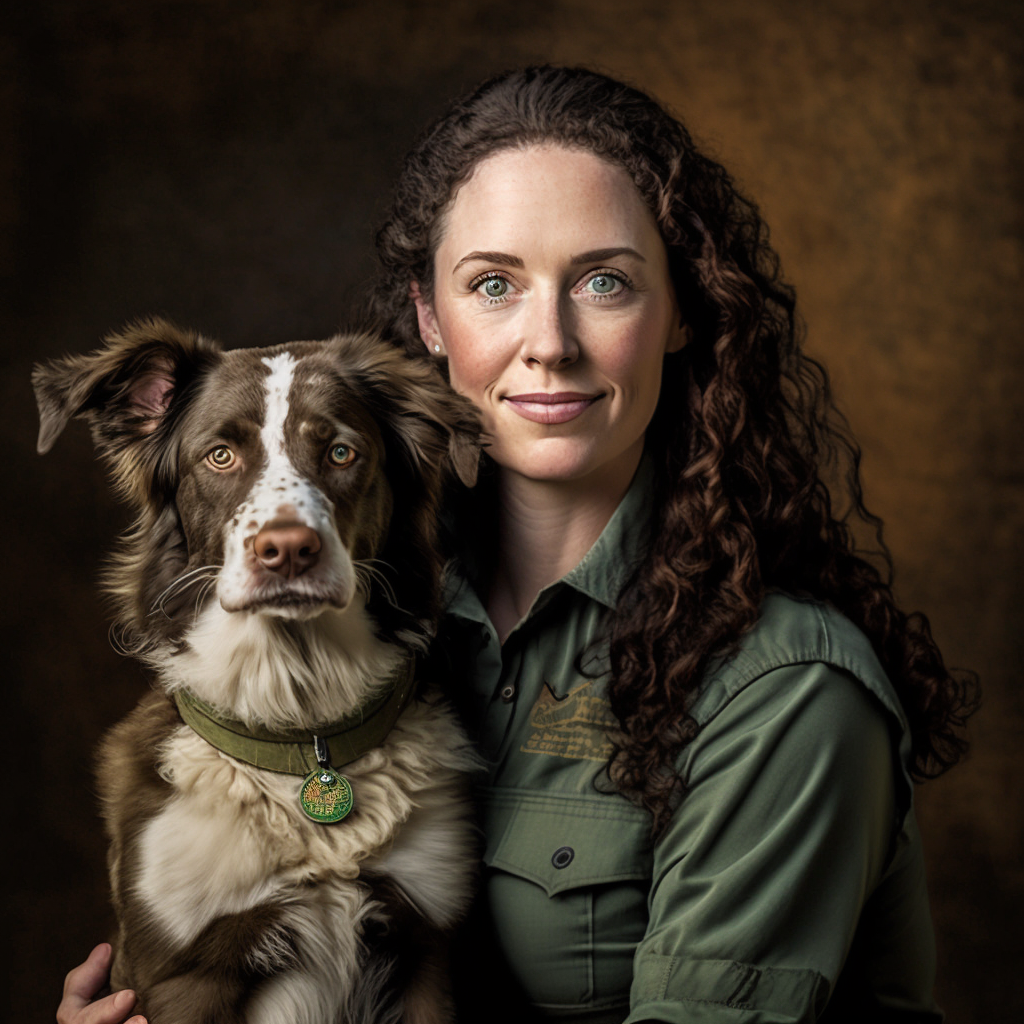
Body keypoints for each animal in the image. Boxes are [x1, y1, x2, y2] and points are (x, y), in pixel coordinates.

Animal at [34, 318, 482, 1024]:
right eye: (220, 456)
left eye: (342, 453)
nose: (288, 549)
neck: (301, 731)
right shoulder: (181, 971)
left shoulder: (428, 947)